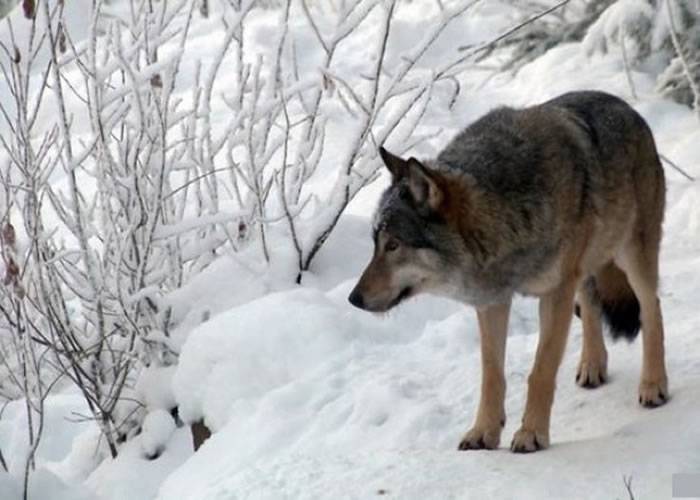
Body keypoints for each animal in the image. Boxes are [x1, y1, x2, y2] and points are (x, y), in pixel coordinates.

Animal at [348, 90, 668, 454]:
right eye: (375, 243)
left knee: (651, 307)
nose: (354, 298)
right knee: (590, 304)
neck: (505, 216)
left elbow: (540, 370)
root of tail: (626, 107)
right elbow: (491, 375)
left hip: (632, 255)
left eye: (393, 245)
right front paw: (483, 432)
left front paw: (531, 434)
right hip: (586, 267)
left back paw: (653, 385)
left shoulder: (555, 293)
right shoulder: (492, 303)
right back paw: (592, 366)